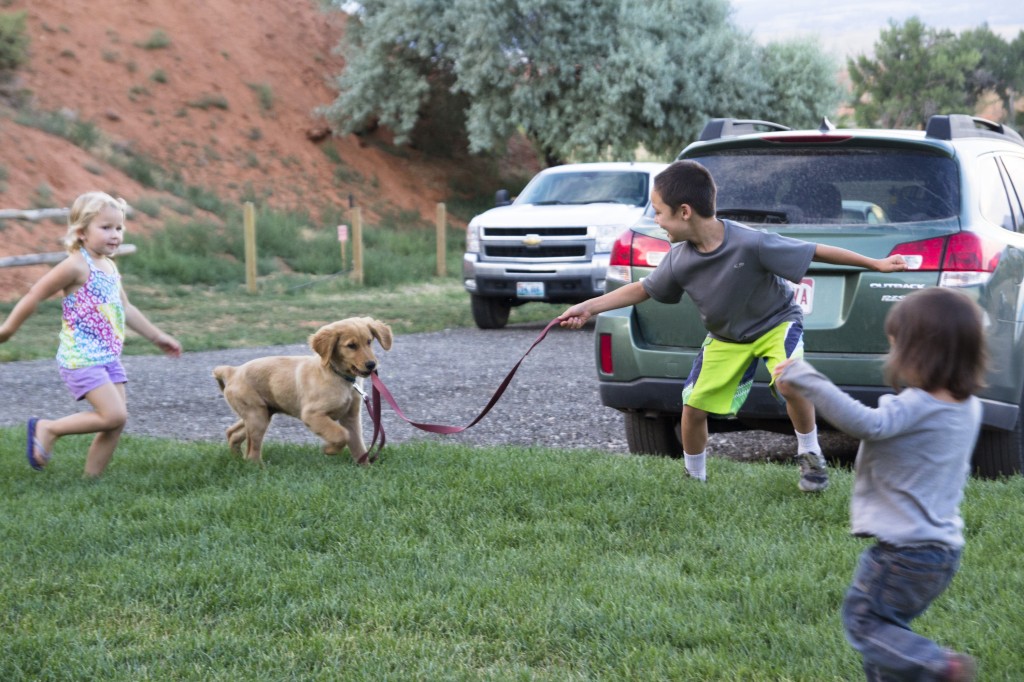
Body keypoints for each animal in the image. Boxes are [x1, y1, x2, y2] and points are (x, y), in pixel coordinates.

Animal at [211, 315, 391, 464]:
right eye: (351, 346)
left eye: (369, 341)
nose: (371, 364)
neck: (338, 376)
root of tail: (232, 371)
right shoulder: (312, 414)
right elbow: (341, 434)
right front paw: (329, 449)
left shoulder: (350, 416)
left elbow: (357, 444)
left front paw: (365, 468)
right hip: (256, 416)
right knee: (251, 451)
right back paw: (258, 468)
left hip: (260, 413)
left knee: (233, 433)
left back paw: (236, 460)